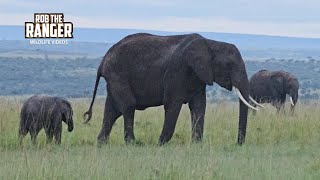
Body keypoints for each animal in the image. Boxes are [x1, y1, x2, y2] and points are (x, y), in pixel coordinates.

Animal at [84, 32, 258, 145]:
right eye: (229, 65)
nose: (238, 144)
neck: (211, 43)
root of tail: (103, 60)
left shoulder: (199, 75)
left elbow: (199, 106)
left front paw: (196, 145)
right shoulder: (178, 70)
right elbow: (173, 104)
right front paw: (160, 144)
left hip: (114, 78)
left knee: (112, 111)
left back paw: (101, 144)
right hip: (117, 74)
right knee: (128, 106)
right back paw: (133, 144)